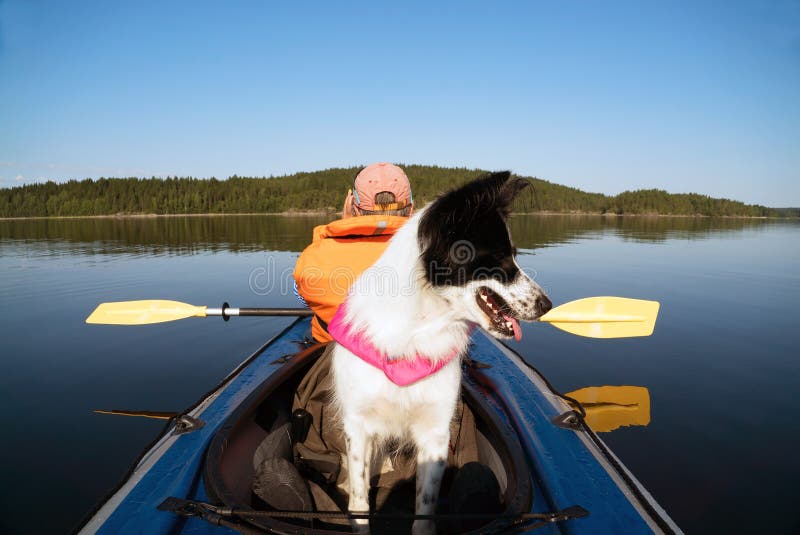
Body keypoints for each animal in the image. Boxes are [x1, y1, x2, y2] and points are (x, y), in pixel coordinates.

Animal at [328, 171, 552, 532]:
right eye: (500, 260)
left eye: (514, 255)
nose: (548, 306)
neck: (416, 329)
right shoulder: (358, 424)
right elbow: (360, 502)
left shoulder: (434, 430)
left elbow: (425, 506)